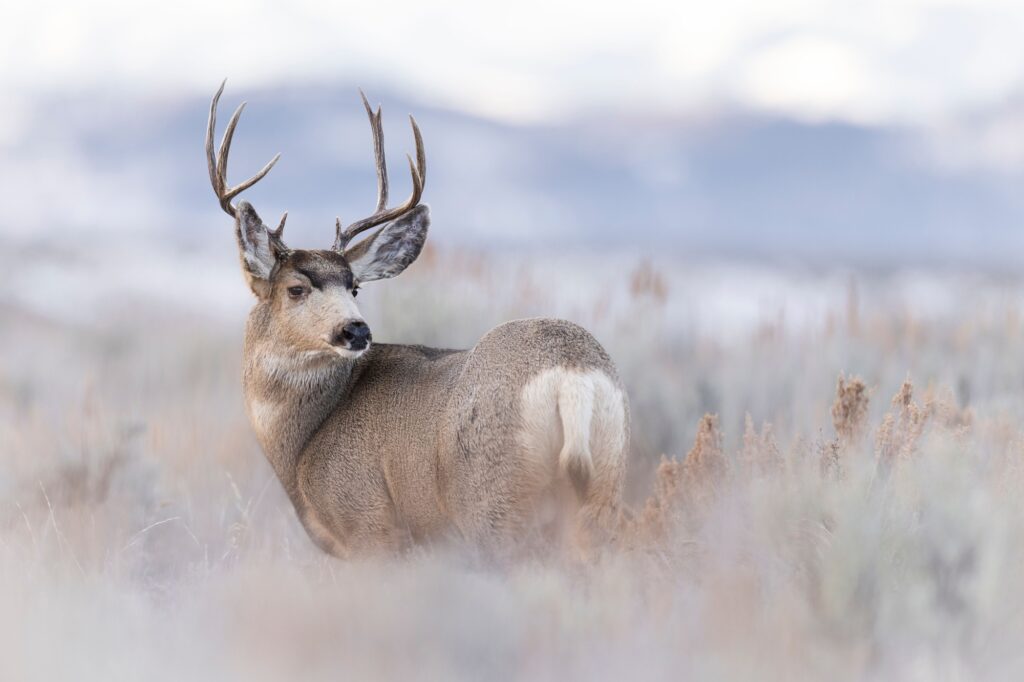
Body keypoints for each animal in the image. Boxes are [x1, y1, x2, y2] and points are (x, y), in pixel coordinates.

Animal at [205, 81, 630, 558]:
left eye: (353, 287)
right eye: (296, 288)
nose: (356, 330)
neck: (304, 441)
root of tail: (573, 374)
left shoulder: (368, 522)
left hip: (492, 501)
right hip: (605, 486)